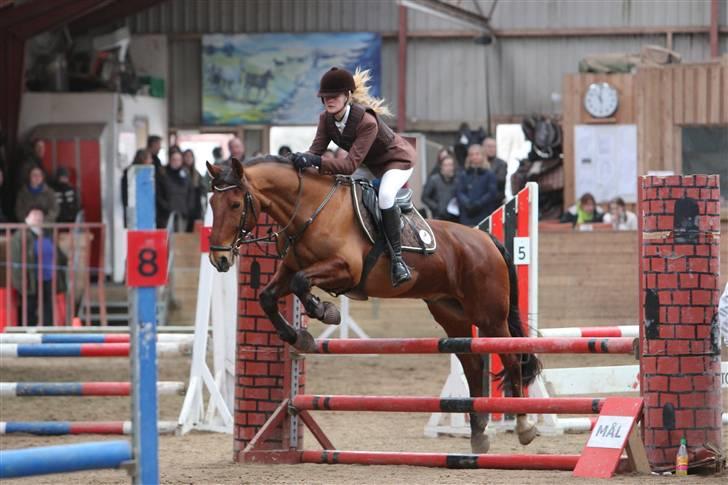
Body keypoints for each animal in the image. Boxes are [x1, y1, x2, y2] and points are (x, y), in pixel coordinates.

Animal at [206, 156, 542, 454]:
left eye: (235, 205)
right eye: (211, 204)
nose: (219, 259)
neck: (310, 209)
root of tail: (485, 239)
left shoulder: (344, 269)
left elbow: (303, 283)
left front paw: (324, 311)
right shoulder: (288, 270)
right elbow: (268, 296)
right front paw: (299, 336)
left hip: (490, 316)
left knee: (513, 360)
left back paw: (524, 426)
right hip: (452, 313)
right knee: (472, 364)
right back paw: (479, 433)